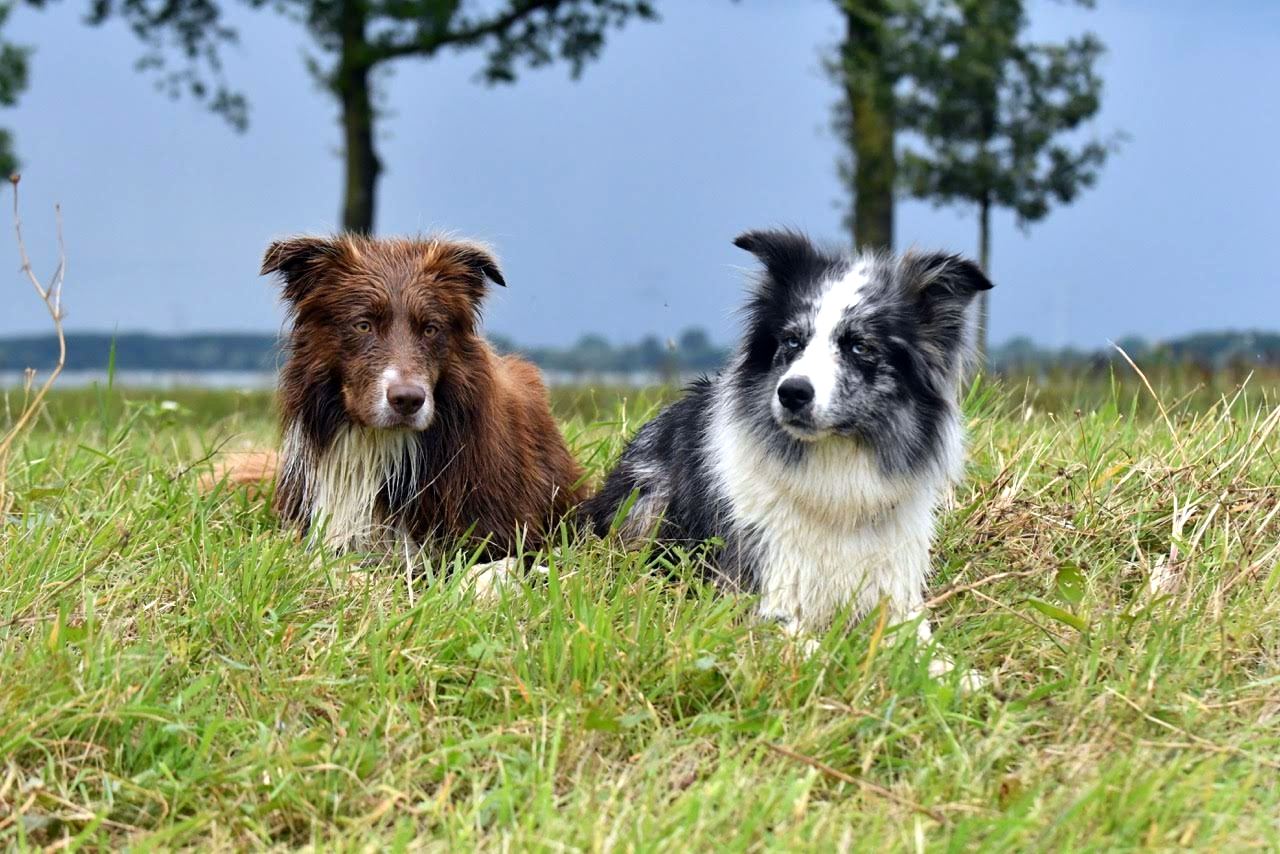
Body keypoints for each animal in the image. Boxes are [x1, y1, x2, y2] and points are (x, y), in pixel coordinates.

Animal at [584, 229, 991, 677]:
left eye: (860, 347)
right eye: (793, 341)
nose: (792, 392)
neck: (835, 476)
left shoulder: (894, 598)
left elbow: (926, 651)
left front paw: (962, 679)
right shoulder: (753, 595)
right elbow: (820, 653)